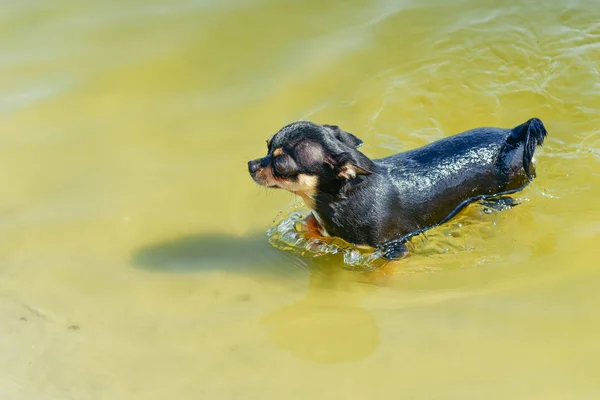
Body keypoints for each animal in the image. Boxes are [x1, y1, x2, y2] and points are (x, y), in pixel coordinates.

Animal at [246, 117, 548, 258]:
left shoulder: (393, 247)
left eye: (280, 164)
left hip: (502, 193)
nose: (250, 164)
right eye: (267, 146)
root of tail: (513, 134)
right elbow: (312, 226)